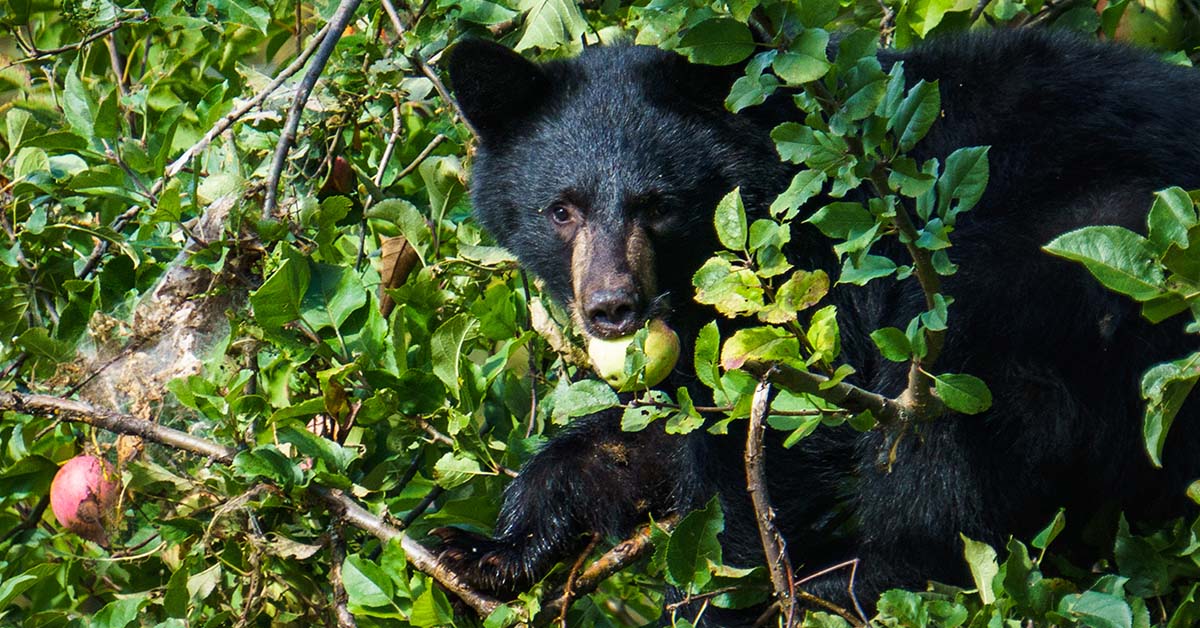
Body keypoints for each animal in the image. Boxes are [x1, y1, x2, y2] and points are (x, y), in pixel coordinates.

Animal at [439, 28, 1200, 619]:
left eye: (657, 205)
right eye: (560, 210)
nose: (612, 307)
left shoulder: (815, 269)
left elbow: (783, 435)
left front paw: (717, 594)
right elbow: (655, 427)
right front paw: (489, 549)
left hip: (1082, 251)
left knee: (951, 418)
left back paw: (861, 578)